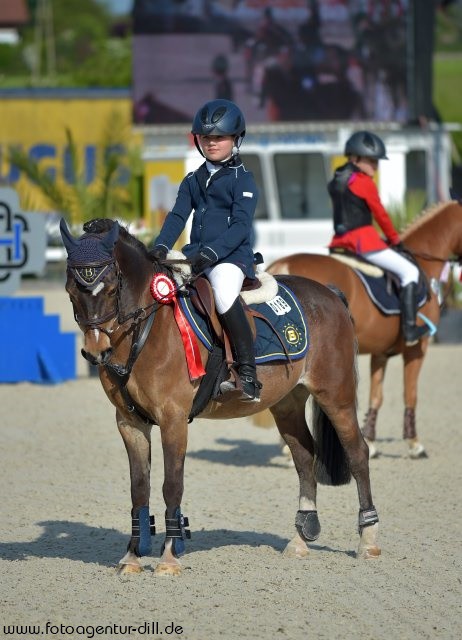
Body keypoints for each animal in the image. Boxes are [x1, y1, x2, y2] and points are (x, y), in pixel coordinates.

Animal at [60, 216, 378, 576]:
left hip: (335, 394)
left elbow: (172, 485)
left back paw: (368, 540)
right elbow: (139, 488)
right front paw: (131, 558)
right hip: (287, 403)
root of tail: (330, 293)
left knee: (357, 453)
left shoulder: (173, 418)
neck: (146, 330)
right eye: (71, 290)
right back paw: (300, 539)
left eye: (113, 288)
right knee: (303, 455)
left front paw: (169, 557)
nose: (95, 351)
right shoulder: (129, 423)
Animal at [268, 200, 462, 460]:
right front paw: (414, 444)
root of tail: (284, 264)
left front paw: (370, 441)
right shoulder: (417, 349)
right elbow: (410, 394)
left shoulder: (381, 353)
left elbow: (376, 397)